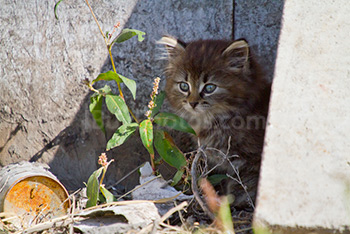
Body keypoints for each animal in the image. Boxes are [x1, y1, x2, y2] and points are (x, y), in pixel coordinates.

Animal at [160, 35, 272, 209]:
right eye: (184, 86)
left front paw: (230, 201)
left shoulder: (253, 161)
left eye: (209, 88)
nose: (192, 103)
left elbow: (243, 184)